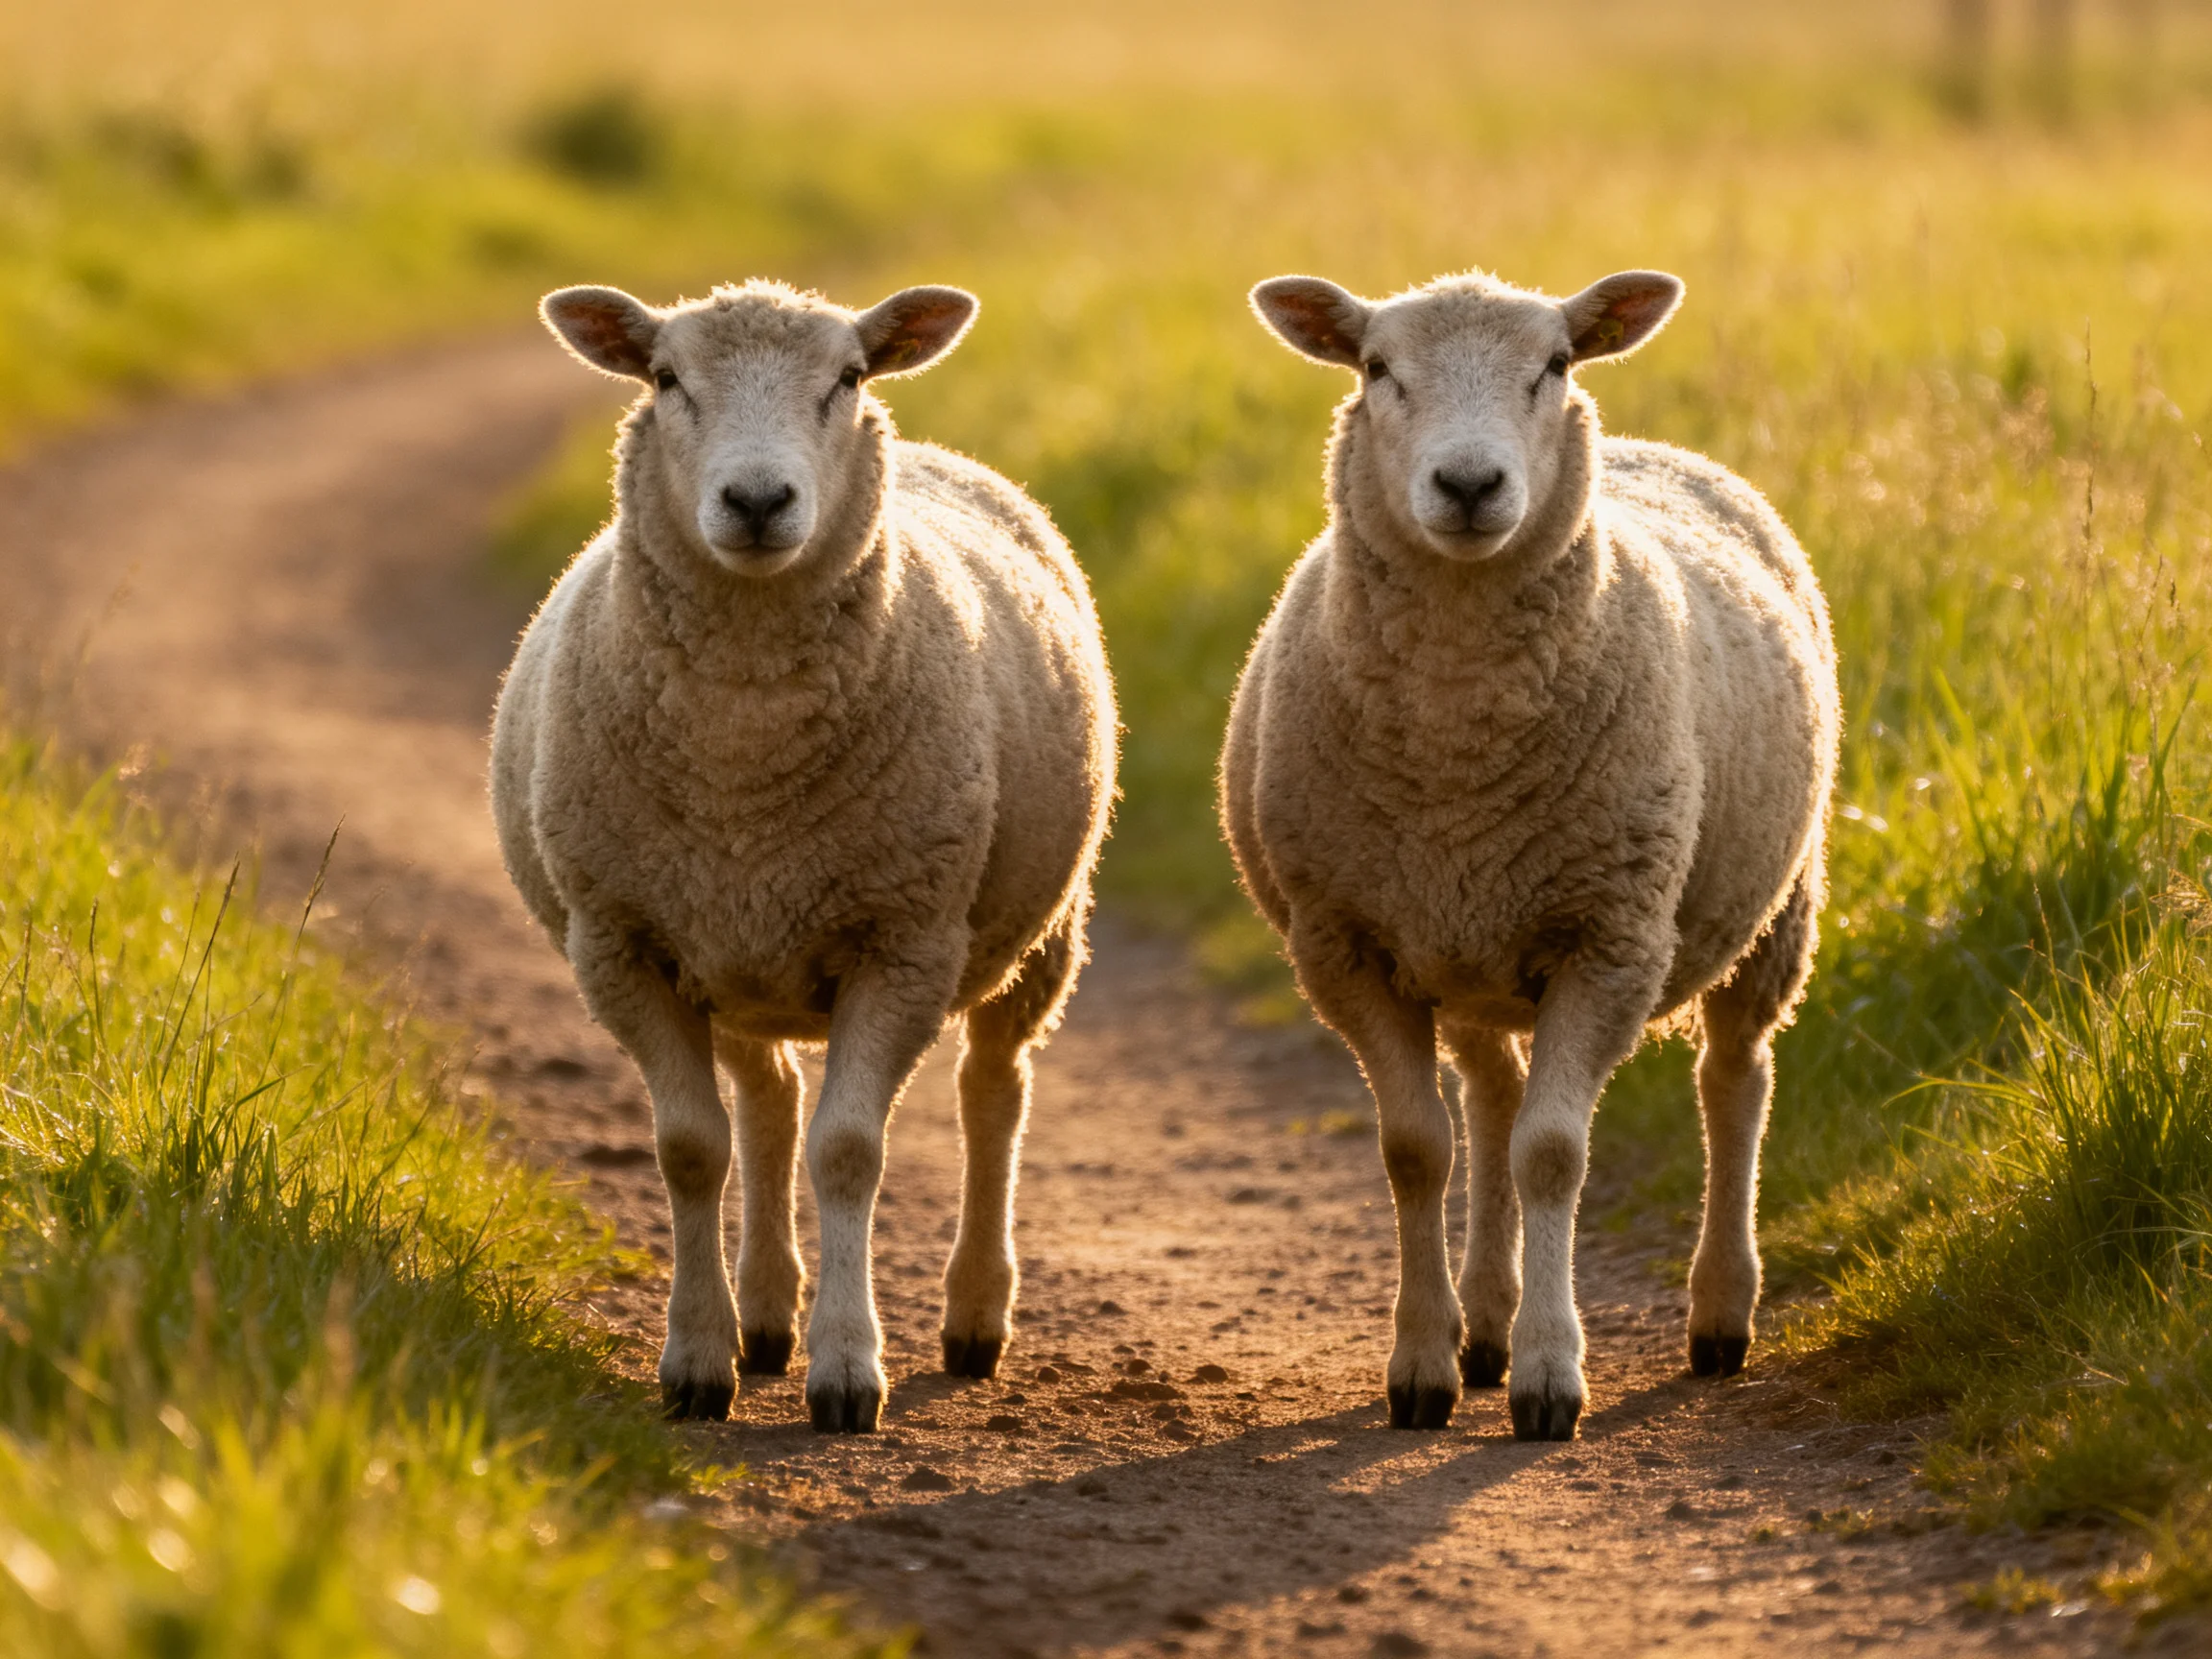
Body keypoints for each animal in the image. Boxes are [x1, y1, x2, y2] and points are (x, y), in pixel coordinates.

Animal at [491, 278, 1116, 1433]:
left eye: (849, 378)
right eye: (665, 378)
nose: (755, 501)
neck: (747, 750)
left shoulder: (905, 940)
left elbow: (849, 1151)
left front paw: (848, 1371)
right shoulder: (623, 943)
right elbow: (694, 1149)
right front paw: (698, 1363)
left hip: (1043, 927)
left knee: (993, 1091)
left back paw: (973, 1317)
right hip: (735, 948)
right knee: (769, 1101)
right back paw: (765, 1316)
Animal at [1221, 267, 1838, 1441]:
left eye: (1553, 365)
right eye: (1377, 368)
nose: (1469, 484)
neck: (1458, 734)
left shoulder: (1612, 938)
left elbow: (1554, 1153)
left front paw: (1554, 1379)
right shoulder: (1345, 943)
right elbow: (1418, 1149)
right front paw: (1424, 1365)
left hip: (1774, 905)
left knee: (1735, 1078)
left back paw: (1719, 1313)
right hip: (1466, 940)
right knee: (1491, 1096)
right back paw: (1486, 1326)